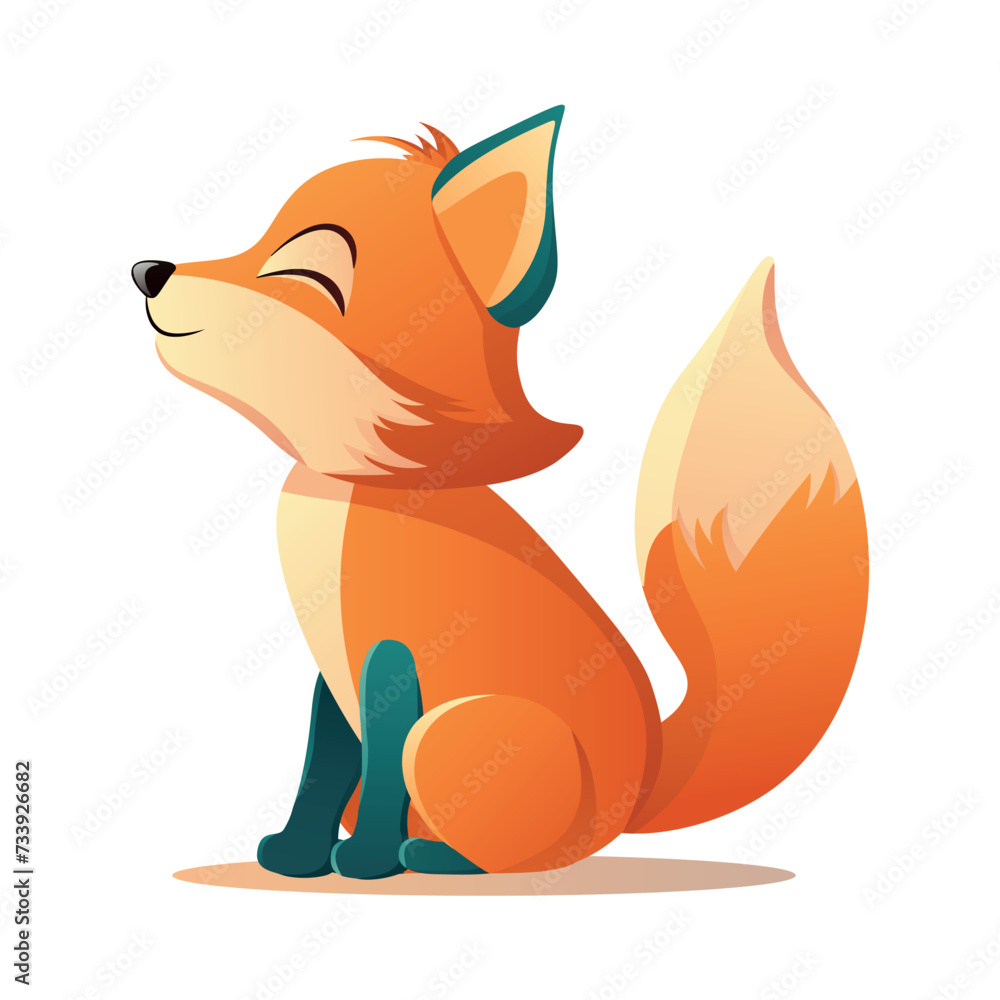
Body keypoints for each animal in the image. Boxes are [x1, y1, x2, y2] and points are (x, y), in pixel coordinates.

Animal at [134, 106, 868, 880]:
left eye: (302, 271)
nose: (148, 271)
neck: (362, 491)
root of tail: (637, 796)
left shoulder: (390, 656)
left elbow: (379, 761)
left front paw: (364, 862)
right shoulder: (331, 666)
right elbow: (325, 765)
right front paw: (297, 856)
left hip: (450, 730)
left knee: (512, 851)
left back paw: (428, 855)